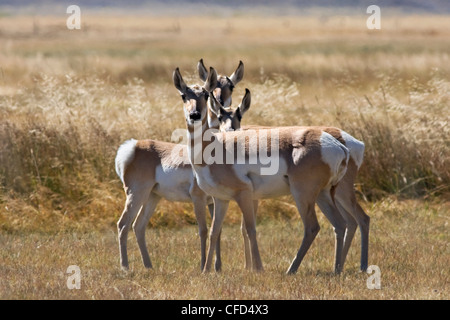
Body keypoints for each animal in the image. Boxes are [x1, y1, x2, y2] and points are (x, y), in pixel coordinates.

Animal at [114, 60, 244, 270]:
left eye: (205, 94)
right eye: (184, 95)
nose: (195, 115)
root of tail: (133, 145)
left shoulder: (214, 200)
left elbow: (218, 230)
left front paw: (217, 268)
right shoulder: (198, 198)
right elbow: (203, 230)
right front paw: (203, 266)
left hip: (152, 197)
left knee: (138, 226)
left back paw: (149, 266)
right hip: (136, 194)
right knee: (123, 224)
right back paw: (125, 267)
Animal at [174, 66, 350, 274]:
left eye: (205, 94)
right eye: (184, 95)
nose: (194, 115)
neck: (215, 147)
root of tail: (337, 145)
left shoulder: (244, 195)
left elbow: (250, 229)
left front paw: (257, 269)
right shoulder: (221, 199)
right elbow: (214, 231)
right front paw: (207, 271)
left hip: (302, 195)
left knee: (312, 227)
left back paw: (291, 270)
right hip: (324, 194)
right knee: (340, 224)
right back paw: (336, 270)